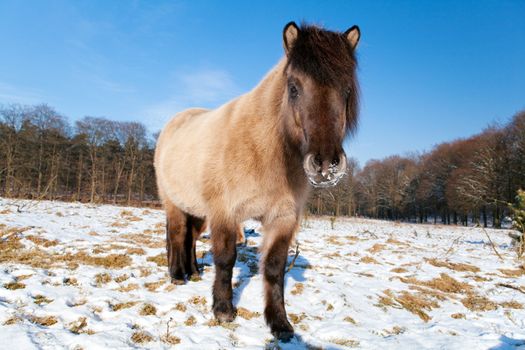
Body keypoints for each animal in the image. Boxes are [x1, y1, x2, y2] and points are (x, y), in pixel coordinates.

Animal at [155, 21, 360, 340]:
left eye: (347, 89)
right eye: (294, 88)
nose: (326, 164)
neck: (264, 150)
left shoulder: (283, 218)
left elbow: (275, 268)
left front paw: (280, 324)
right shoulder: (225, 213)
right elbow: (226, 259)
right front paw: (223, 310)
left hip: (197, 210)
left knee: (190, 238)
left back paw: (194, 271)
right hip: (174, 203)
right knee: (177, 235)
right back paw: (178, 275)